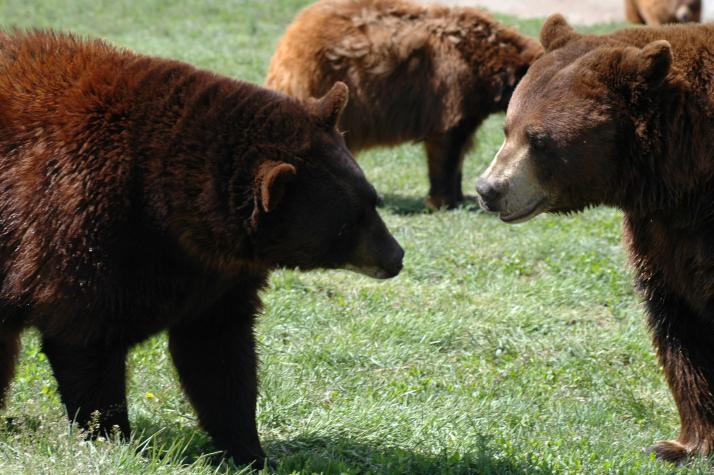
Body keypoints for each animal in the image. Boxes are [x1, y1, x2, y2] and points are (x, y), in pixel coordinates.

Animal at [0, 30, 404, 472]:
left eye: (371, 199)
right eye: (346, 225)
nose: (396, 257)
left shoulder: (214, 276)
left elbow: (219, 356)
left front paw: (249, 451)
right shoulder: (80, 227)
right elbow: (85, 337)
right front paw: (113, 438)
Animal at [266, 0, 540, 210]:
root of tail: (289, 38)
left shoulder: (469, 106)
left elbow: (460, 145)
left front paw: (461, 195)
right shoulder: (451, 91)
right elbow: (446, 147)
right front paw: (444, 201)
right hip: (319, 82)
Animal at [476, 15, 714, 464]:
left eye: (538, 139)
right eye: (507, 128)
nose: (488, 188)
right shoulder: (660, 233)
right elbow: (678, 324)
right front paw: (682, 444)